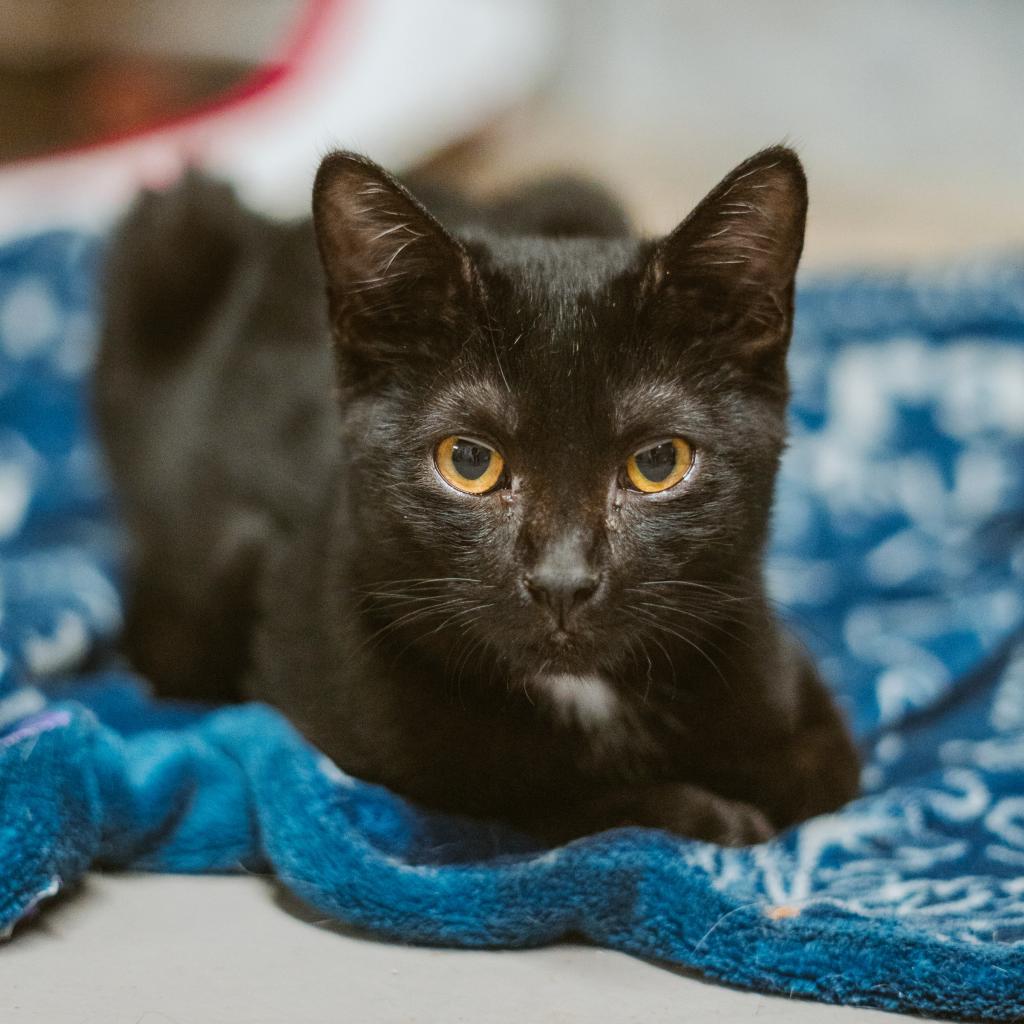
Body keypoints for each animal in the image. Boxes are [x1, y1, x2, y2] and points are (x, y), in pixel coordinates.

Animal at [97, 146, 864, 847]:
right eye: (468, 461)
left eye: (658, 463)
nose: (562, 581)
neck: (586, 693)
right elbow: (531, 801)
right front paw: (709, 815)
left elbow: (823, 774)